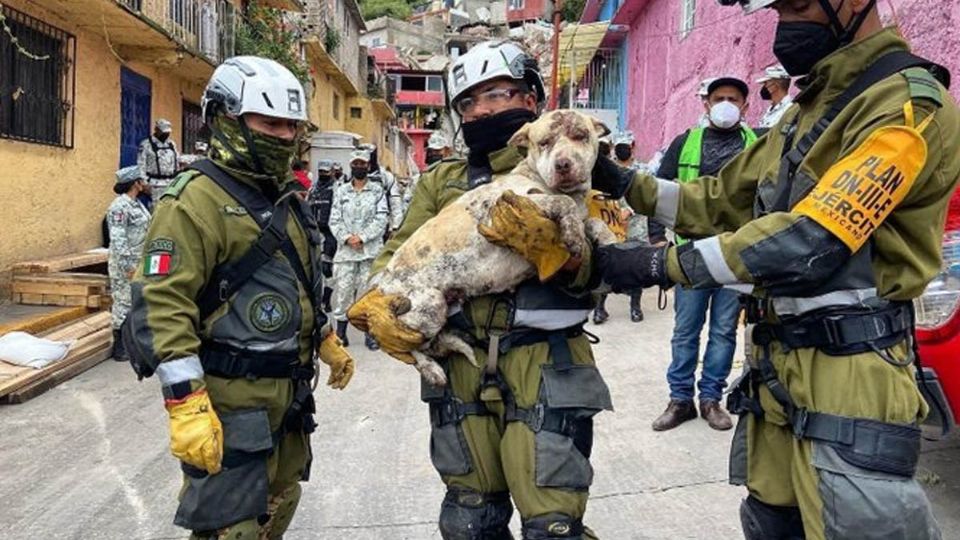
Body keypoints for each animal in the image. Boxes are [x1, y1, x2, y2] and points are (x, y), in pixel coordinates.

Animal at [368, 109, 616, 386]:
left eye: (580, 136)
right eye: (544, 142)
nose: (563, 165)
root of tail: (381, 285)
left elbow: (593, 222)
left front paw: (607, 241)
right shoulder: (504, 207)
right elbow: (563, 202)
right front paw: (573, 232)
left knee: (430, 343)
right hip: (427, 306)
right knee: (405, 347)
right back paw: (431, 368)